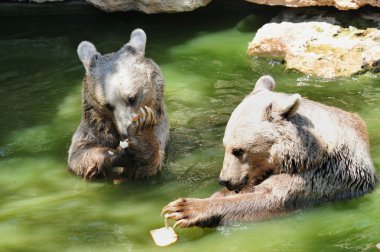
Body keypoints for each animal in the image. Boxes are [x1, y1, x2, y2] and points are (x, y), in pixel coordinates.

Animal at [67, 28, 168, 180]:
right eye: (108, 105)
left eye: (132, 98)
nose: (125, 132)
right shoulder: (94, 126)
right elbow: (80, 153)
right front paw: (117, 154)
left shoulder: (160, 128)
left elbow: (147, 165)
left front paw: (142, 128)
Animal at [163, 75, 378, 228]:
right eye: (225, 146)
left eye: (238, 150)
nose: (224, 180)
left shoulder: (318, 176)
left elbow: (267, 198)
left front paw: (184, 209)